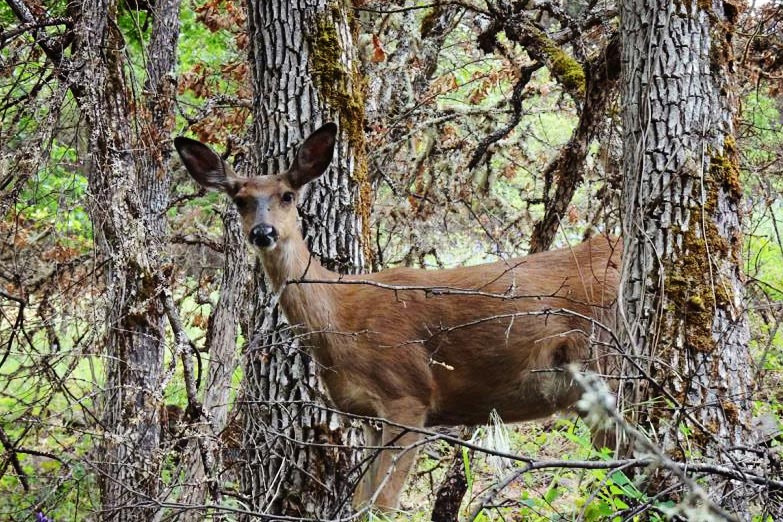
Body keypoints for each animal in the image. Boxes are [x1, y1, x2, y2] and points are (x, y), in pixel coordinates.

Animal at [174, 122, 622, 513]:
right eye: (240, 199)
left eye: (287, 195)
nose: (263, 233)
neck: (339, 319)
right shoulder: (367, 415)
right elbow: (361, 503)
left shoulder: (408, 396)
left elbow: (384, 505)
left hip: (610, 363)